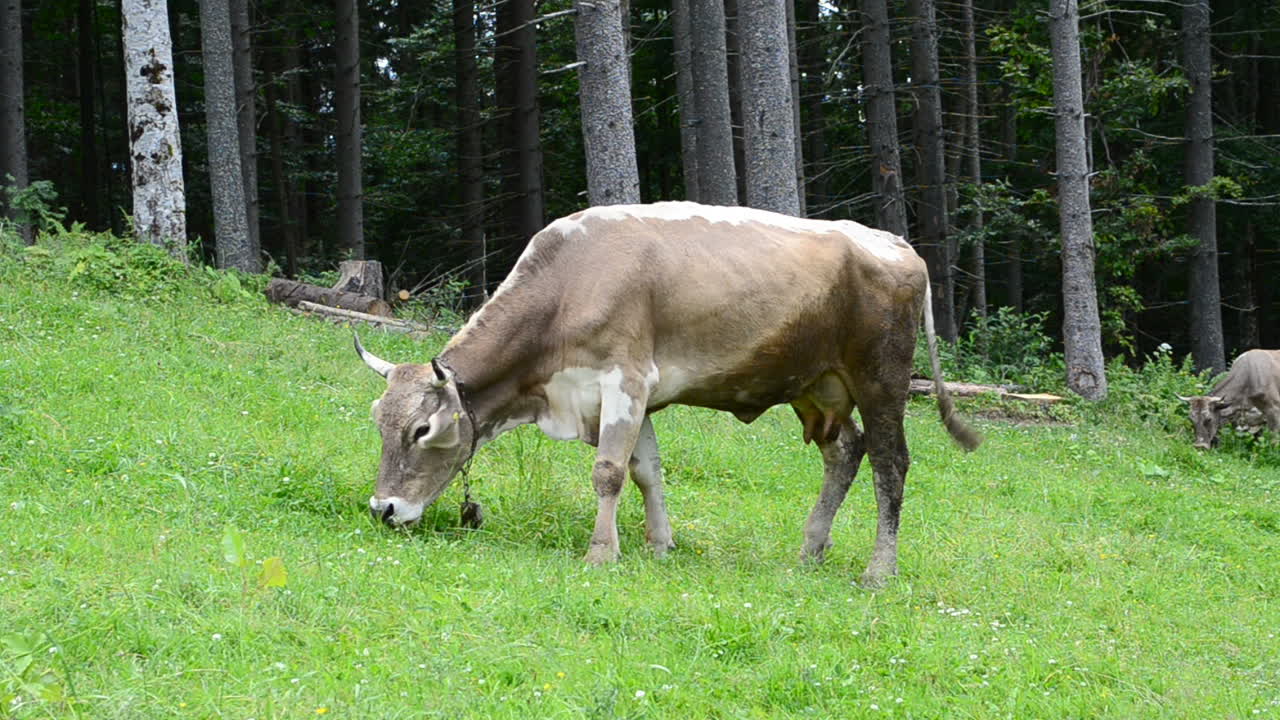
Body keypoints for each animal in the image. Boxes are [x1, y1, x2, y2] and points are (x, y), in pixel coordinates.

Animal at [355, 202, 980, 588]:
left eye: (422, 430)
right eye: (378, 419)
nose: (384, 509)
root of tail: (894, 241)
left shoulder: (625, 379)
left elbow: (608, 472)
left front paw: (601, 553)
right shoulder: (632, 398)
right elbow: (646, 471)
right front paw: (660, 546)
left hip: (881, 379)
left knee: (889, 463)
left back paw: (879, 570)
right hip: (816, 386)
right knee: (845, 453)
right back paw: (809, 549)